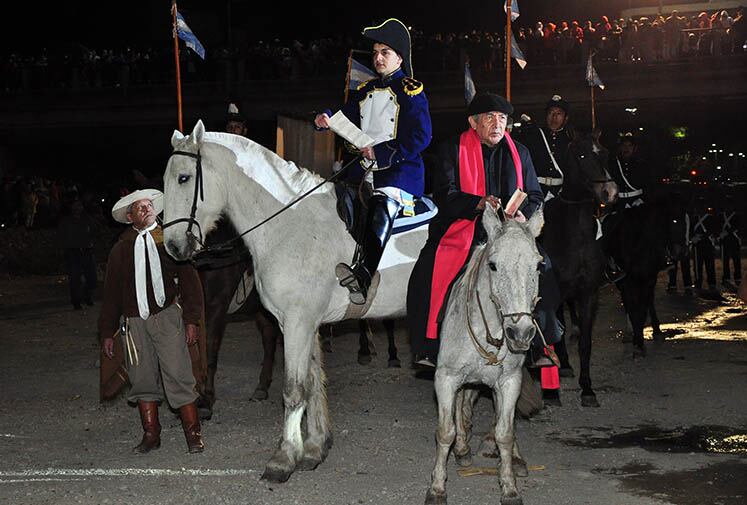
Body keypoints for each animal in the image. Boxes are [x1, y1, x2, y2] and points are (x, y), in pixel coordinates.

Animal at [164, 120, 432, 482]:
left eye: (183, 178)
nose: (173, 247)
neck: (289, 223)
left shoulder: (297, 322)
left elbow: (293, 389)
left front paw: (284, 458)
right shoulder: (301, 323)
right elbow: (312, 383)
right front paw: (315, 448)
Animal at [426, 205, 544, 504]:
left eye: (538, 265)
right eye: (493, 265)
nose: (520, 333)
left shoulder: (509, 381)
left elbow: (505, 432)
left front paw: (510, 487)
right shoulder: (446, 378)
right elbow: (445, 431)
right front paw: (437, 487)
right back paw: (462, 449)